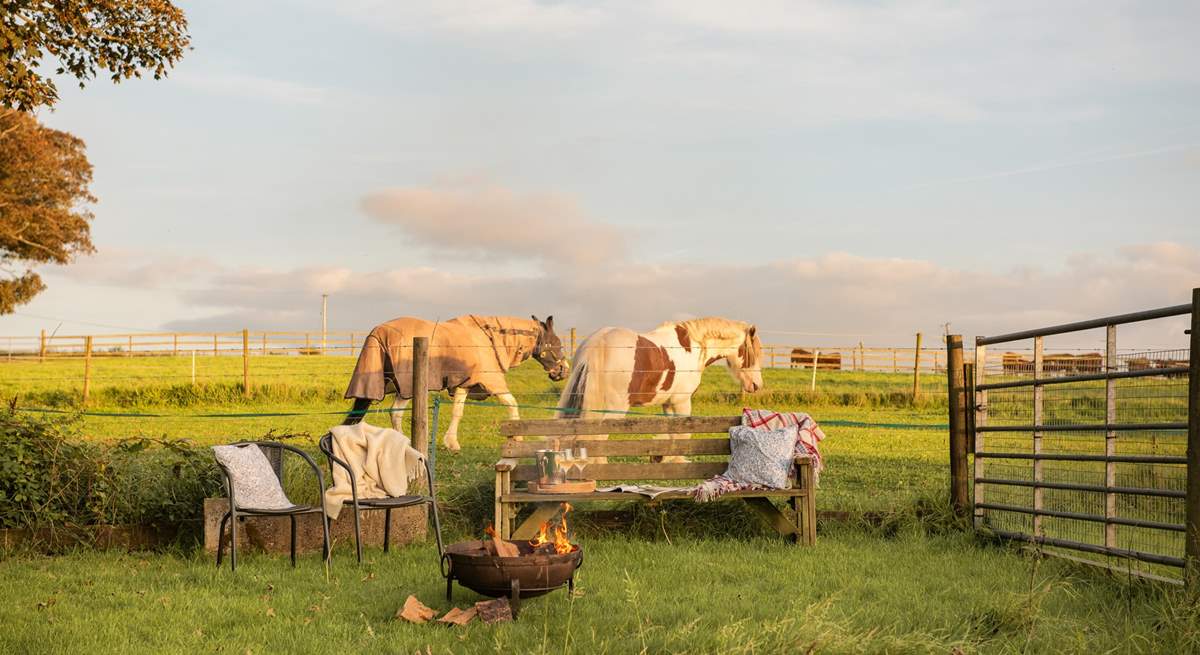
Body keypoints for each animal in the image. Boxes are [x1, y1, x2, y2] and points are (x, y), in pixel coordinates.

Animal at [343, 311, 566, 448]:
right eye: (556, 343)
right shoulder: (491, 381)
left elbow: (457, 412)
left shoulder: (464, 384)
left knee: (393, 413)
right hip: (406, 386)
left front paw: (451, 442)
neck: (488, 340)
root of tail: (378, 332)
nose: (563, 370)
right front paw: (517, 435)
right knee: (395, 412)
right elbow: (512, 403)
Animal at [556, 314, 763, 458]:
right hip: (612, 411)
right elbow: (682, 436)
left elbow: (669, 436)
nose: (757, 385)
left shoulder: (668, 404)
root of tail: (598, 344)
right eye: (753, 354)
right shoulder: (682, 403)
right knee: (596, 441)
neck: (693, 347)